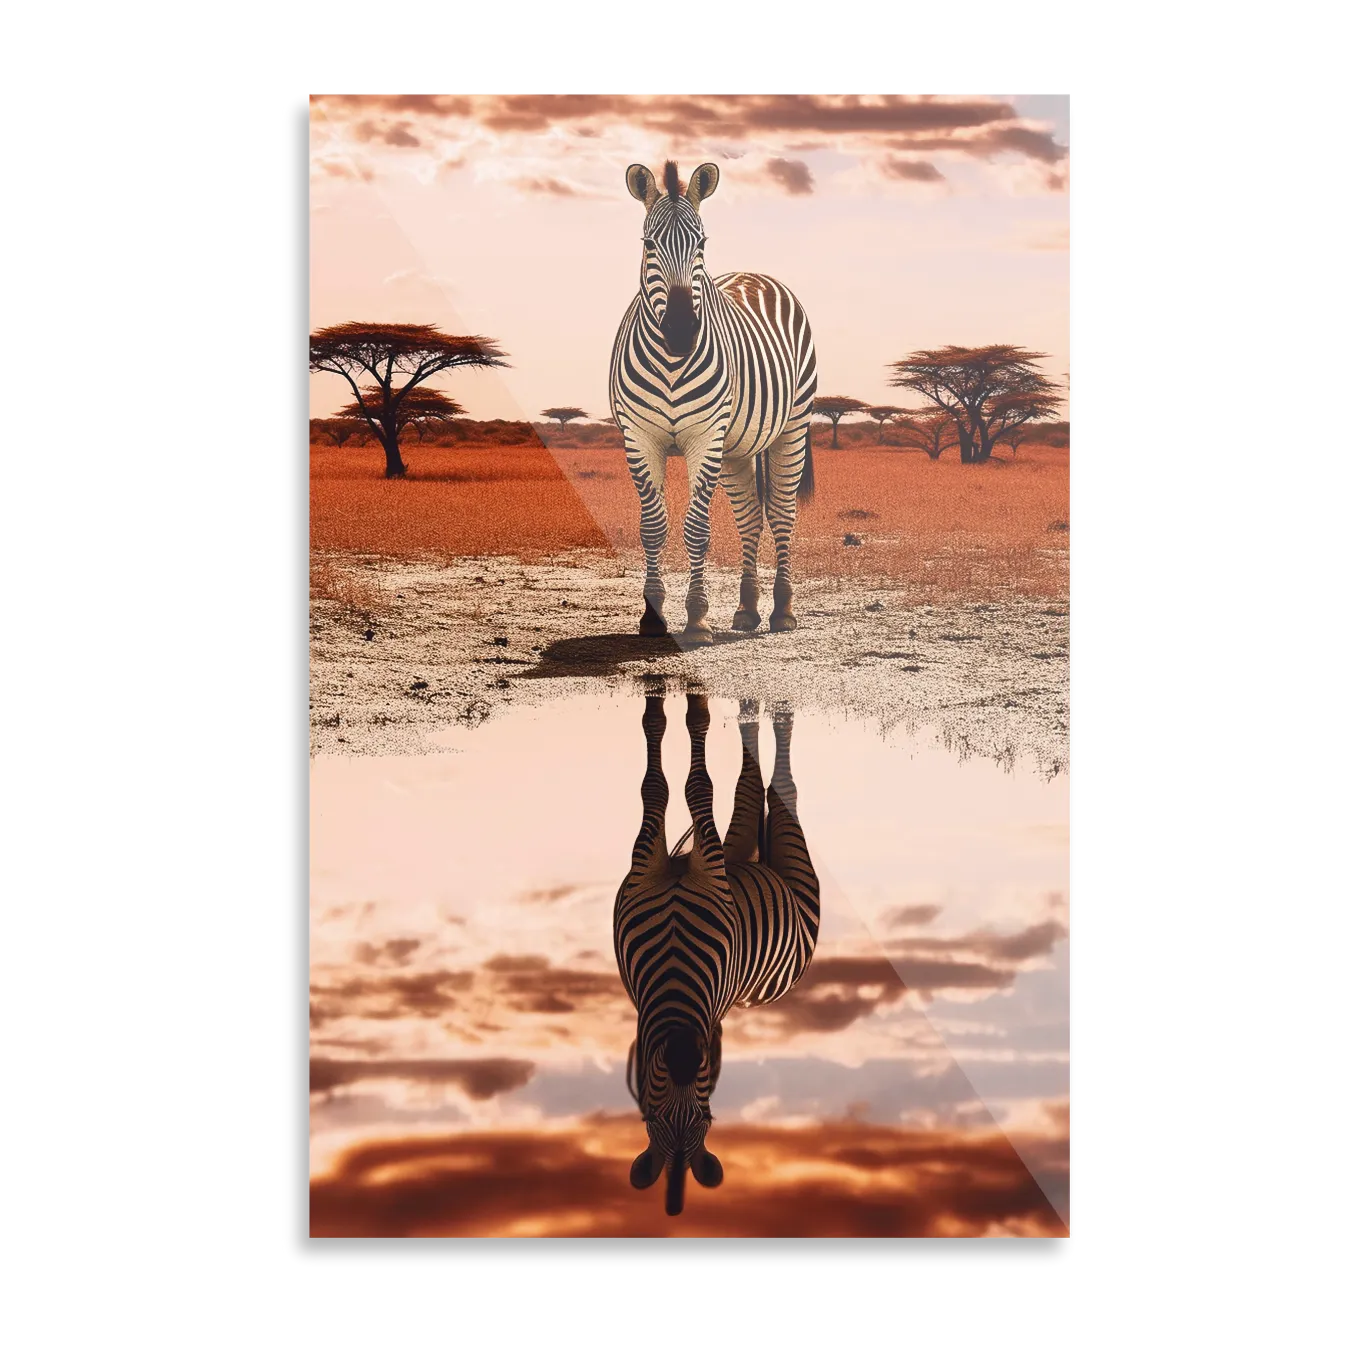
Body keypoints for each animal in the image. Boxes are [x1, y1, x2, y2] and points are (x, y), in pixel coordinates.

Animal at [609, 161, 818, 645]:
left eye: (701, 244)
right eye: (648, 244)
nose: (681, 331)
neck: (671, 361)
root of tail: (758, 274)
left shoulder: (705, 437)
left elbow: (697, 529)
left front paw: (697, 619)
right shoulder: (639, 436)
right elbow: (653, 527)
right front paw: (653, 617)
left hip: (792, 427)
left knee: (781, 513)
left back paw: (782, 612)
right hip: (737, 448)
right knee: (750, 518)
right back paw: (747, 610)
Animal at [614, 690, 821, 1216]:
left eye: (703, 1120)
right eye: (654, 1117)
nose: (686, 1054)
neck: (673, 972)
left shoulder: (698, 855)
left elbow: (688, 787)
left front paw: (687, 709)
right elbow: (662, 786)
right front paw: (669, 709)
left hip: (788, 864)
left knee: (780, 790)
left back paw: (771, 710)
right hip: (740, 847)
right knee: (754, 784)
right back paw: (750, 708)